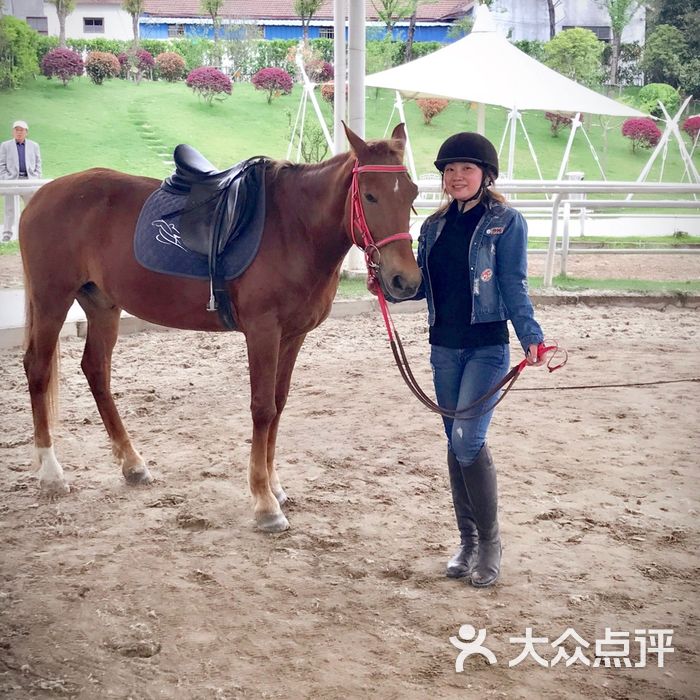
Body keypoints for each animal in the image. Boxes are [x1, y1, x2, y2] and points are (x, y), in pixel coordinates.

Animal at [20, 123, 421, 532]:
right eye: (369, 195)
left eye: (413, 193)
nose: (404, 280)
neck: (294, 228)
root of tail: (43, 195)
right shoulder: (263, 332)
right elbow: (262, 408)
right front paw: (264, 502)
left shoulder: (293, 336)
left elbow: (279, 404)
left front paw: (275, 487)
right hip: (52, 300)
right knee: (38, 368)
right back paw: (51, 472)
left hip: (102, 306)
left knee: (96, 370)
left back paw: (132, 464)